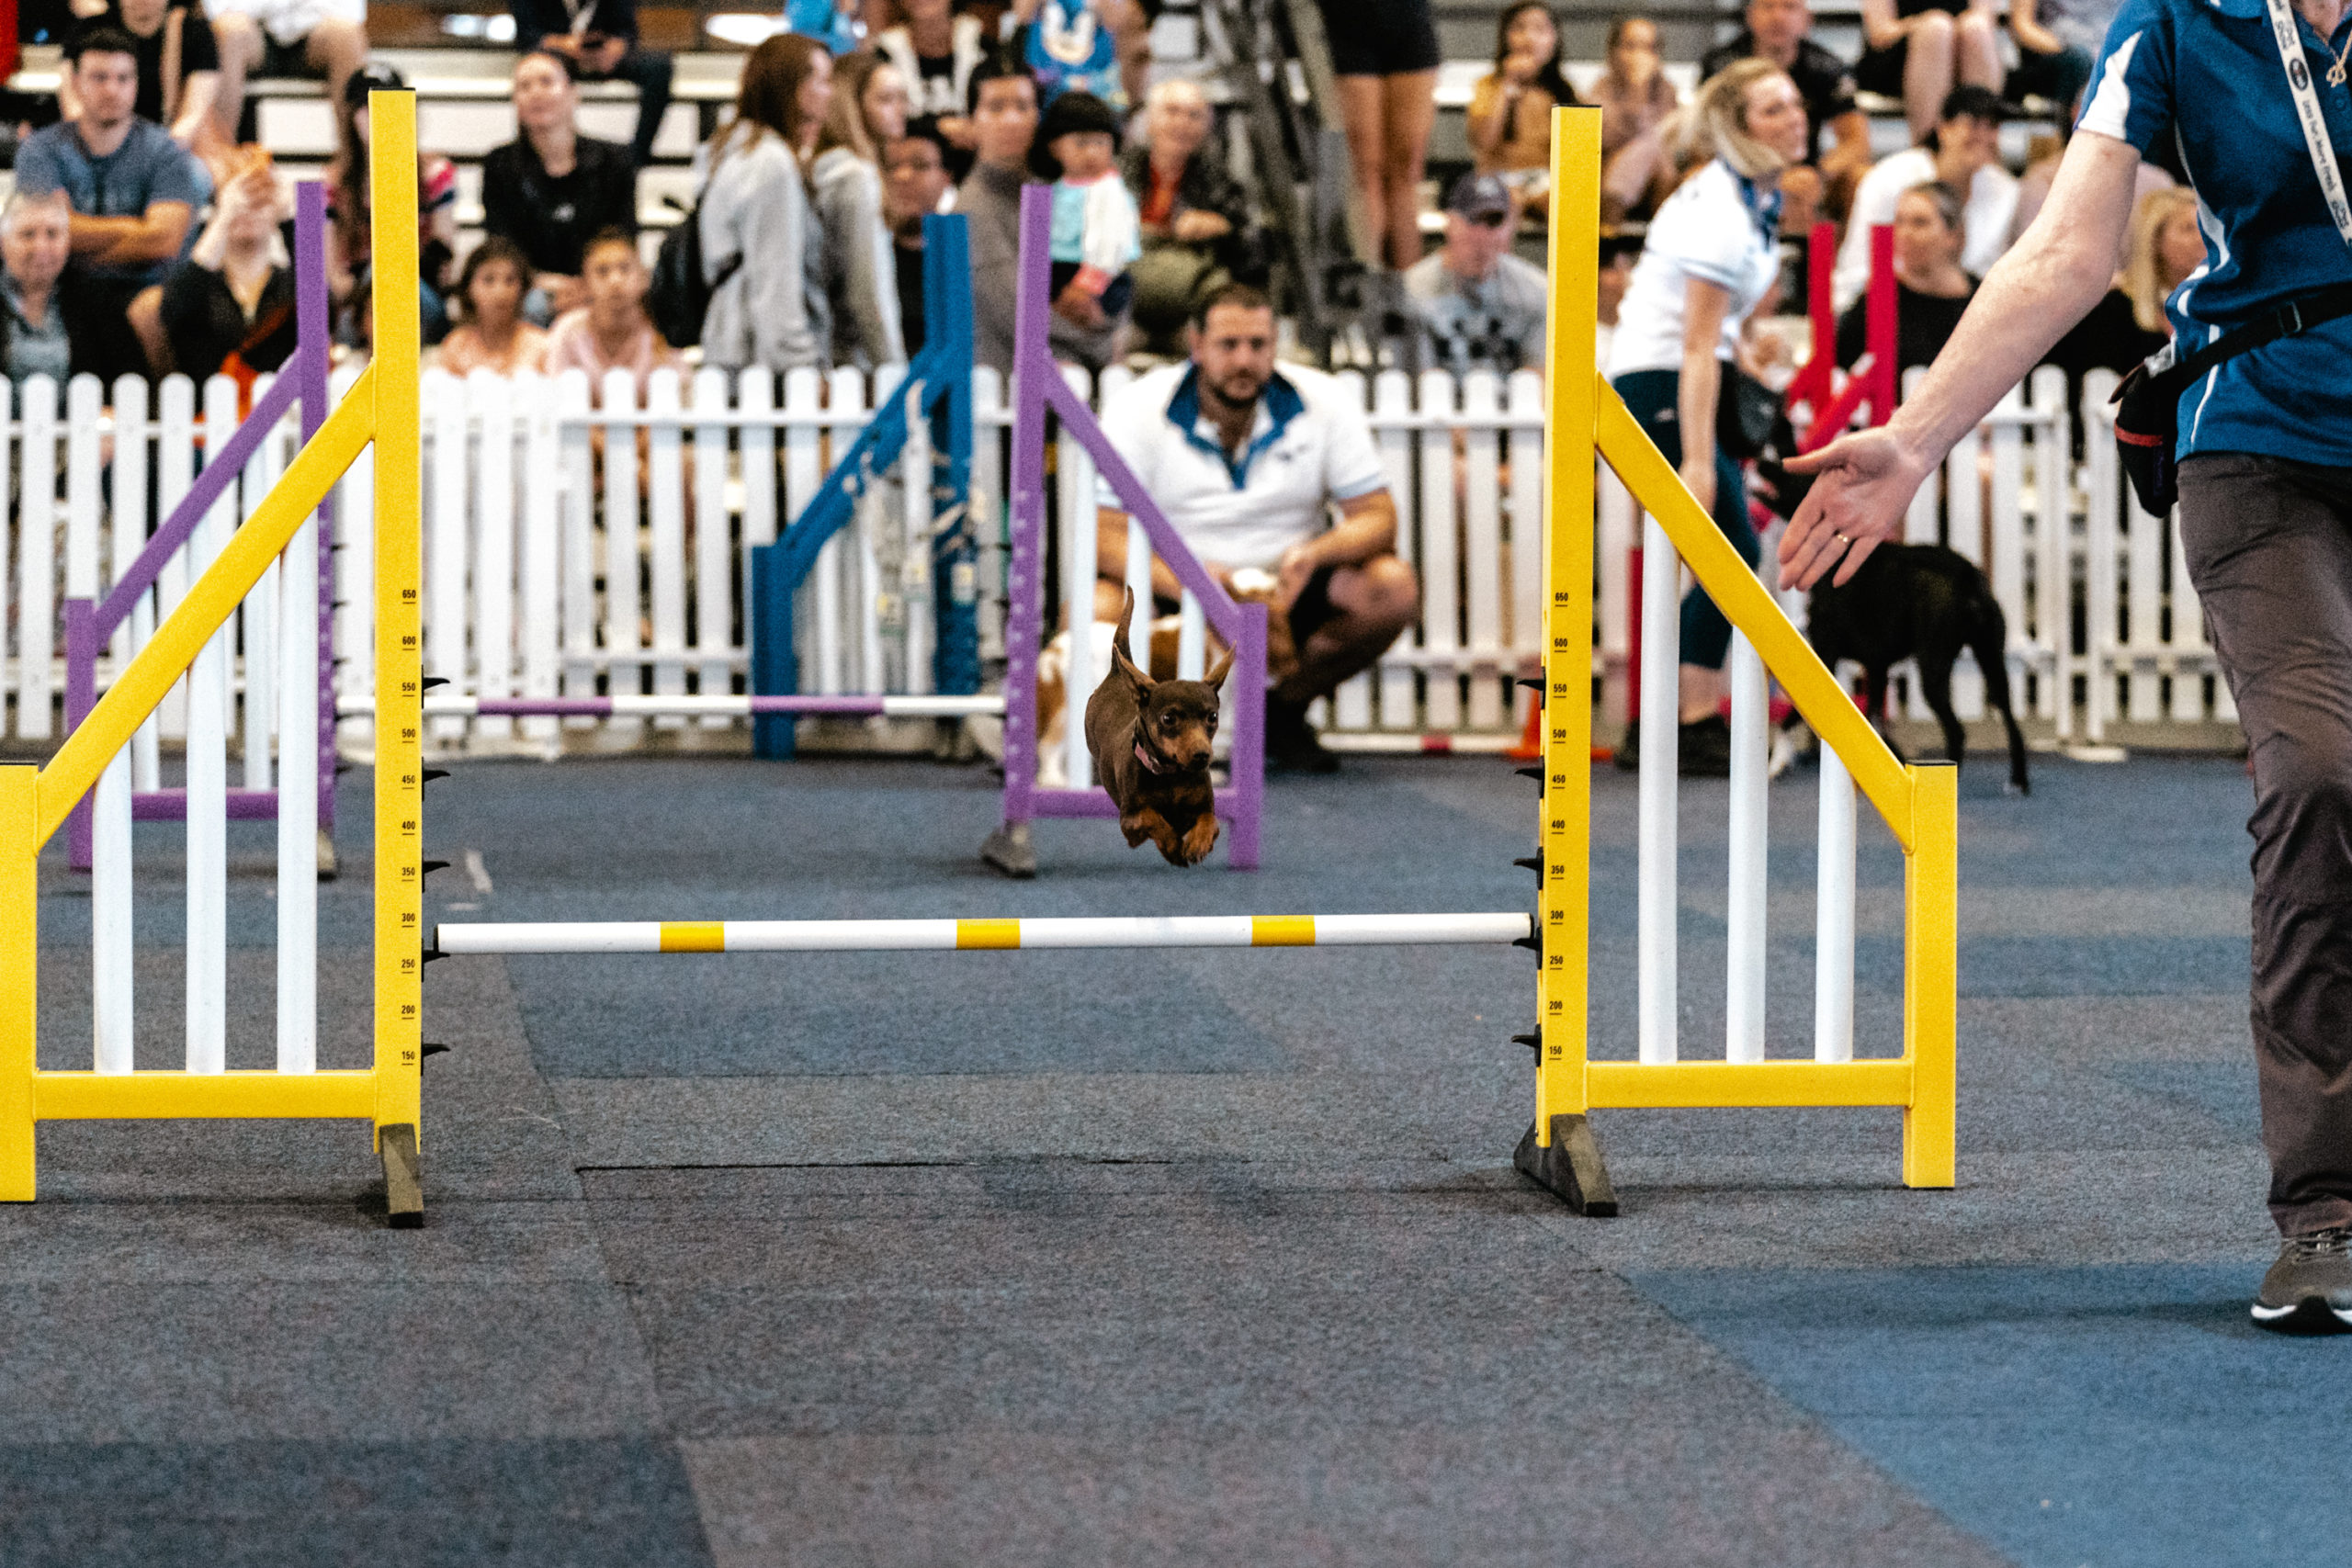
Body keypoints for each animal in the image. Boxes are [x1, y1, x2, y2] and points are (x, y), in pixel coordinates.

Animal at [1081, 587, 1232, 864]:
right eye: (1168, 719)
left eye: (1212, 717)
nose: (1202, 755)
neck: (1171, 776)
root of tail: (1117, 673)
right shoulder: (1129, 821)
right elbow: (1153, 818)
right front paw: (1172, 846)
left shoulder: (1205, 811)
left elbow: (1209, 822)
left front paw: (1197, 844)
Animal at [1787, 545, 2031, 799]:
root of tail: (1968, 576)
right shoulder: (1877, 667)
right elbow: (1875, 720)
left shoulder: (1826, 654)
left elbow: (1792, 715)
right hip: (1992, 662)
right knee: (2012, 724)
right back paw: (2018, 780)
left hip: (1934, 670)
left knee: (1957, 730)